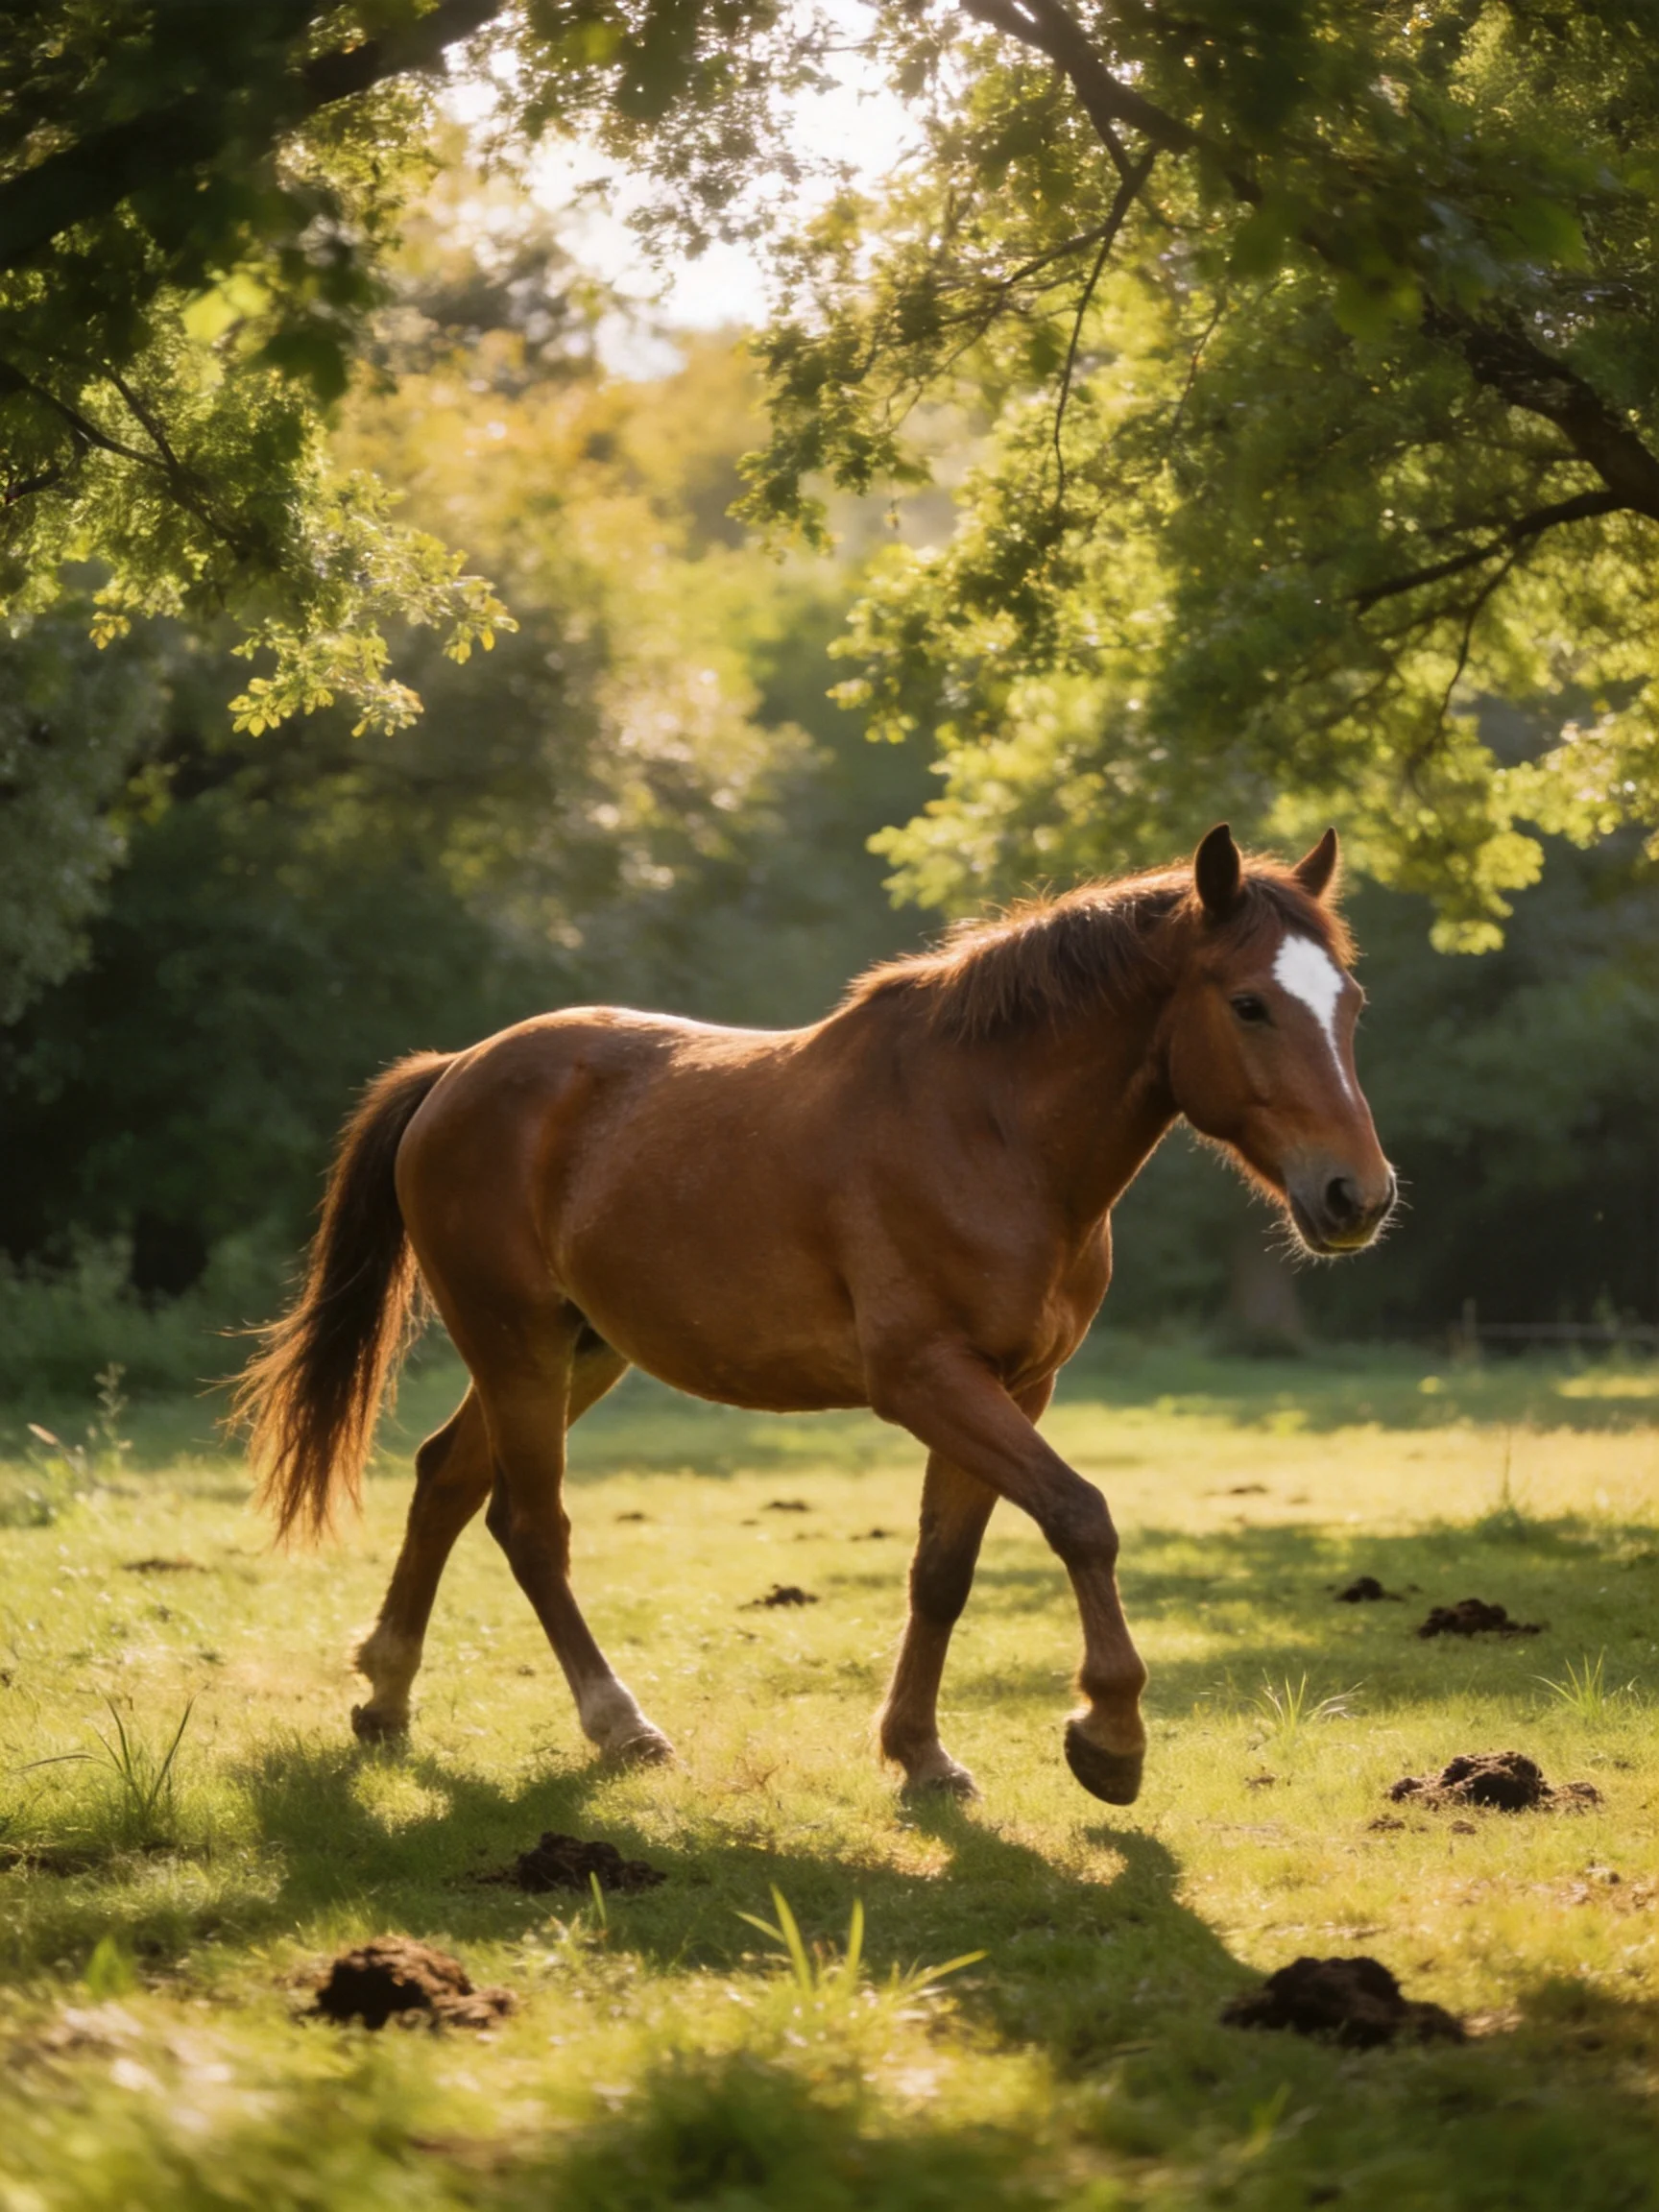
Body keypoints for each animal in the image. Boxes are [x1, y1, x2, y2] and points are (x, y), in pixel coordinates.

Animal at [237, 823, 1394, 1805]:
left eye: (1349, 1005)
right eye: (1248, 1004)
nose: (1358, 1196)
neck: (989, 1132)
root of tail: (455, 1074)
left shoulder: (1016, 1385)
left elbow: (943, 1570)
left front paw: (922, 1755)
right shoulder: (928, 1378)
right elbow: (1081, 1517)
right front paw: (1109, 1738)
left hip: (574, 1351)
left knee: (444, 1480)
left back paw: (386, 1699)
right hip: (515, 1344)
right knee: (528, 1527)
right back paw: (620, 1726)